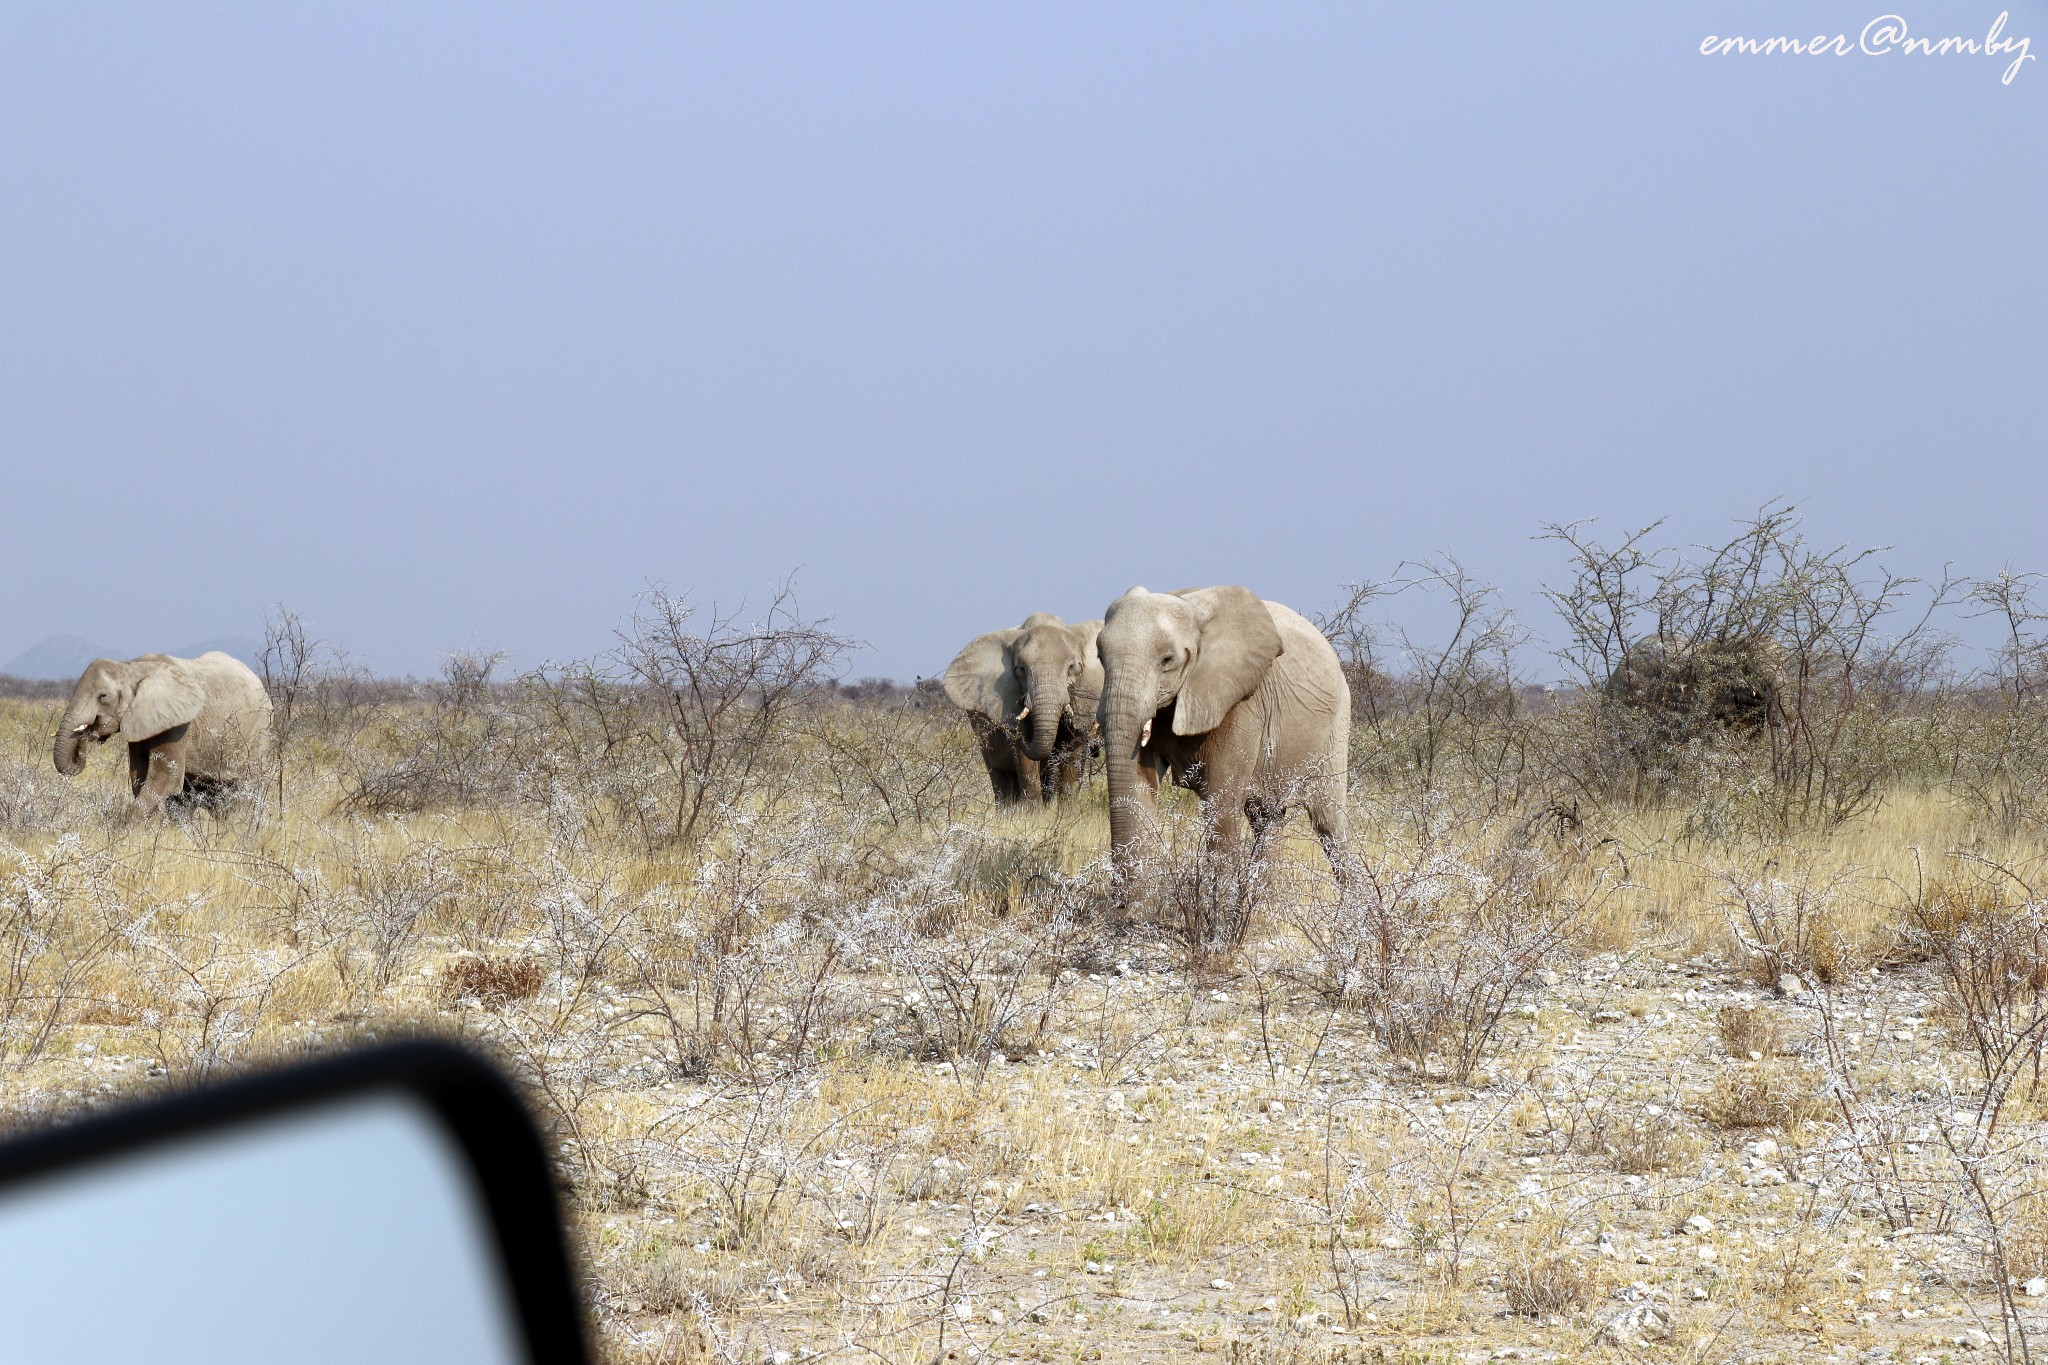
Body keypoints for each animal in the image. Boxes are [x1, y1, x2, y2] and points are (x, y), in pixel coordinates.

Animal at [54, 650, 276, 810]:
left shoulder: (178, 724)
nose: (86, 733)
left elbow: (165, 779)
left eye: (103, 696)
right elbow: (139, 777)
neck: (131, 667)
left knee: (247, 786)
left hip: (259, 730)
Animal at [942, 613, 1105, 806]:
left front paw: (1067, 809)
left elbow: (1073, 750)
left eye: (1073, 668)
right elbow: (1024, 758)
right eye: (1021, 669)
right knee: (1000, 776)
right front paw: (1034, 811)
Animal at [1097, 589, 1351, 888]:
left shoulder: (1240, 701)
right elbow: (1139, 789)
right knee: (1267, 818)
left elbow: (1221, 805)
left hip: (1337, 725)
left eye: (1167, 660)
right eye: (1100, 657)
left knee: (1329, 823)